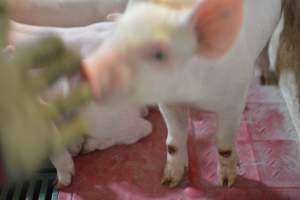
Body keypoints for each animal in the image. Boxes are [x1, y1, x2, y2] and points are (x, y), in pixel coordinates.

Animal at [82, 0, 284, 188]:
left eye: (159, 54)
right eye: (112, 41)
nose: (92, 75)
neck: (190, 93)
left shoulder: (234, 98)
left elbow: (224, 141)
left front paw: (226, 182)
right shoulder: (168, 102)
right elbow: (173, 140)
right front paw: (169, 181)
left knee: (266, 47)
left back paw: (264, 77)